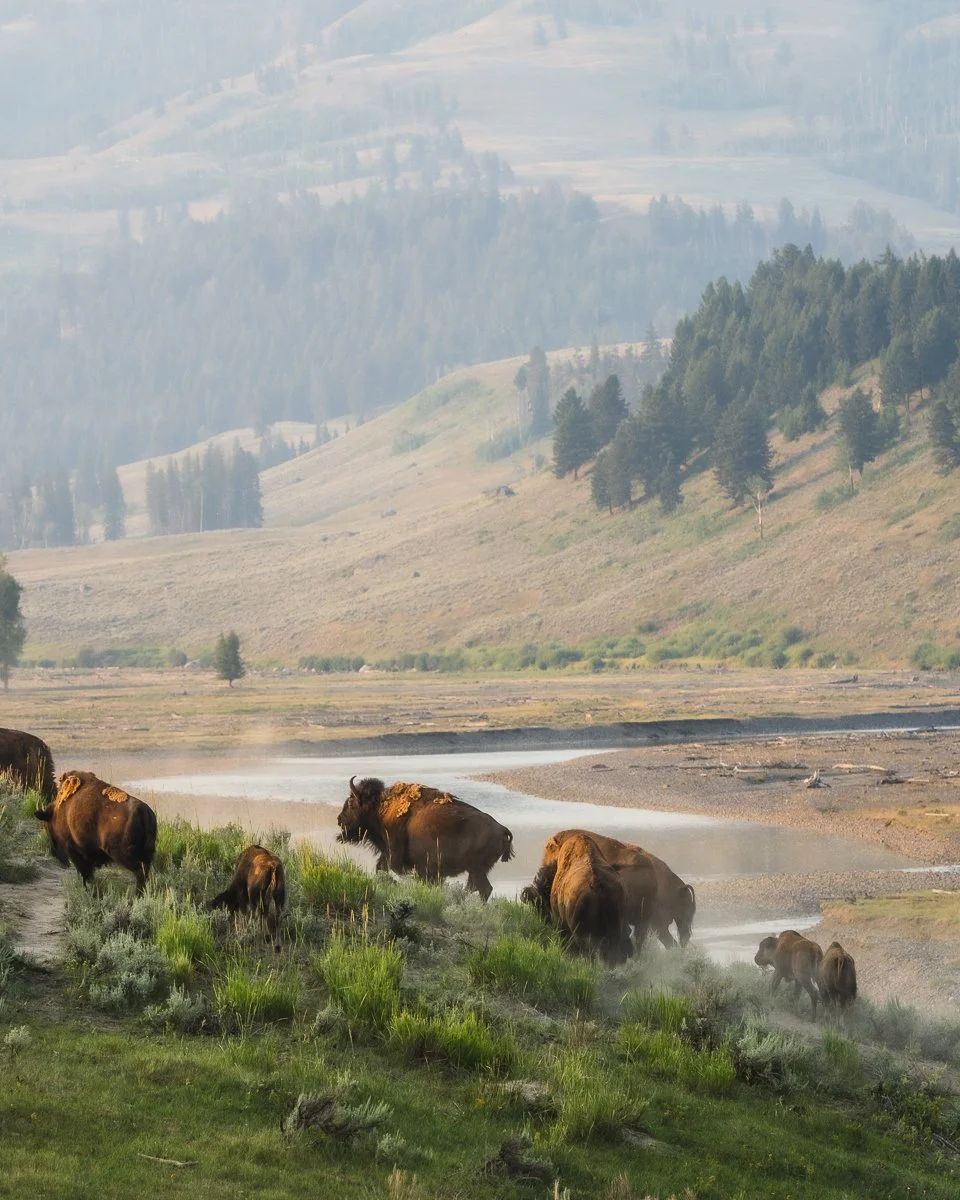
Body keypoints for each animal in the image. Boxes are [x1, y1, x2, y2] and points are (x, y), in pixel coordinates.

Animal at [336, 776, 514, 900]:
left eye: (351, 802)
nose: (339, 819)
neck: (380, 808)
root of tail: (501, 828)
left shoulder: (392, 853)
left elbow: (383, 868)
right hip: (476, 870)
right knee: (476, 887)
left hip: (476, 869)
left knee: (484, 889)